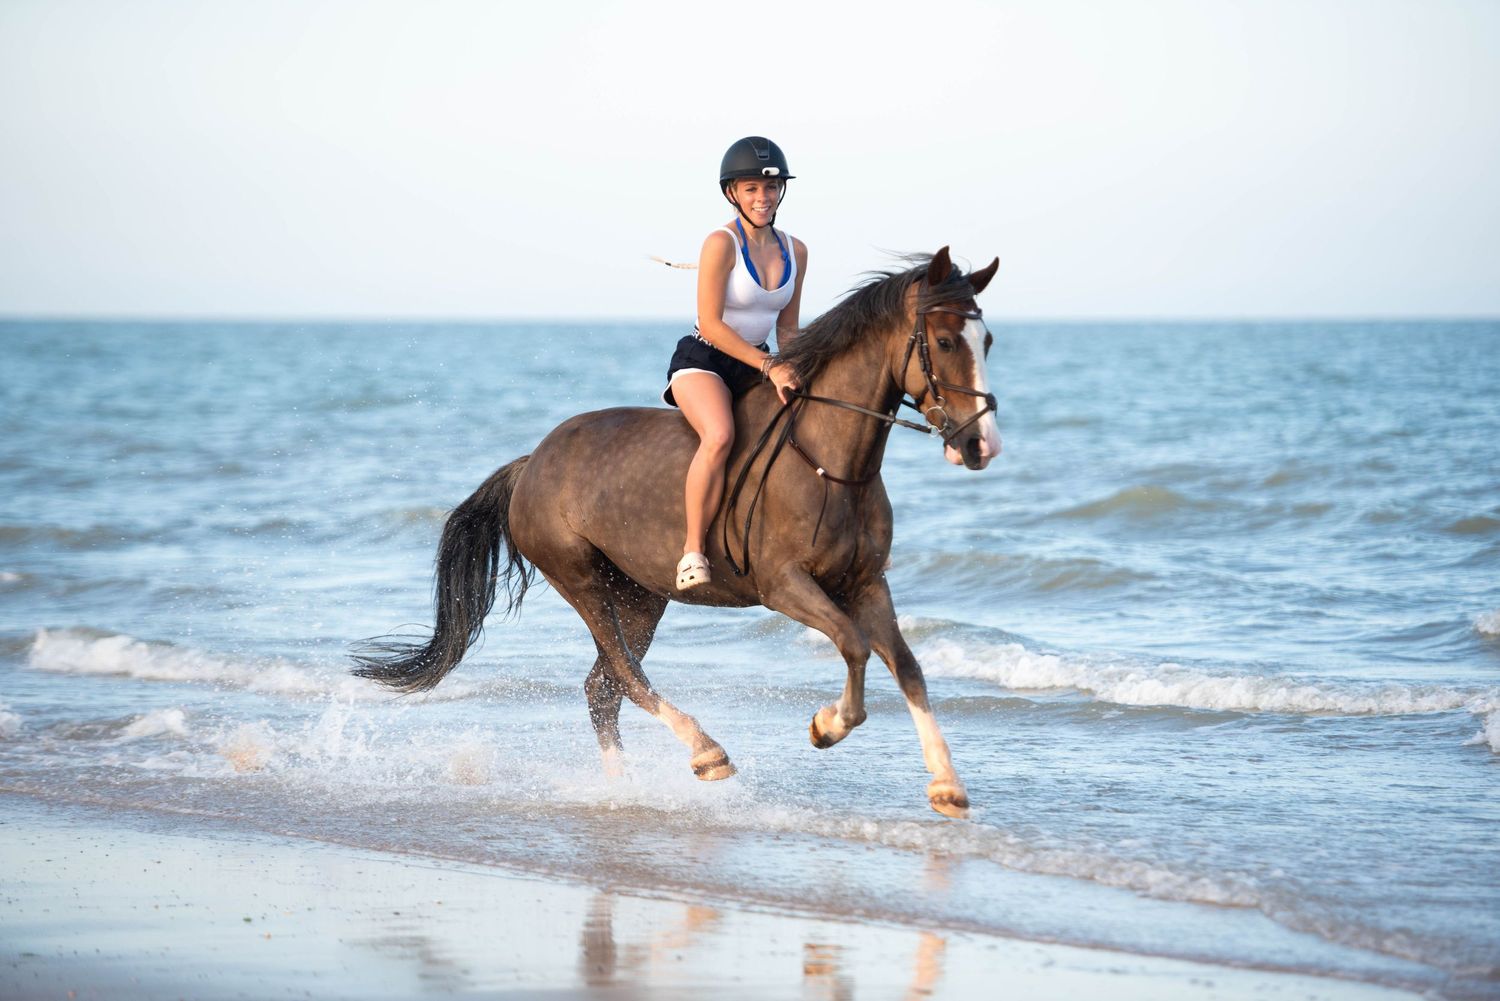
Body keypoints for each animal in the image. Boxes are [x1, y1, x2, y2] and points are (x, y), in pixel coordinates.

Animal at [354, 246, 1002, 818]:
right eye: (946, 341)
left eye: (988, 342)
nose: (980, 445)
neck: (830, 462)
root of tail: (532, 462)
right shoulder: (785, 586)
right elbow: (853, 644)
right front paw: (827, 726)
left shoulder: (866, 582)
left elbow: (907, 666)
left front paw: (947, 785)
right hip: (581, 581)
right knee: (625, 679)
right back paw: (705, 753)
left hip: (640, 597)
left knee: (603, 689)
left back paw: (624, 790)